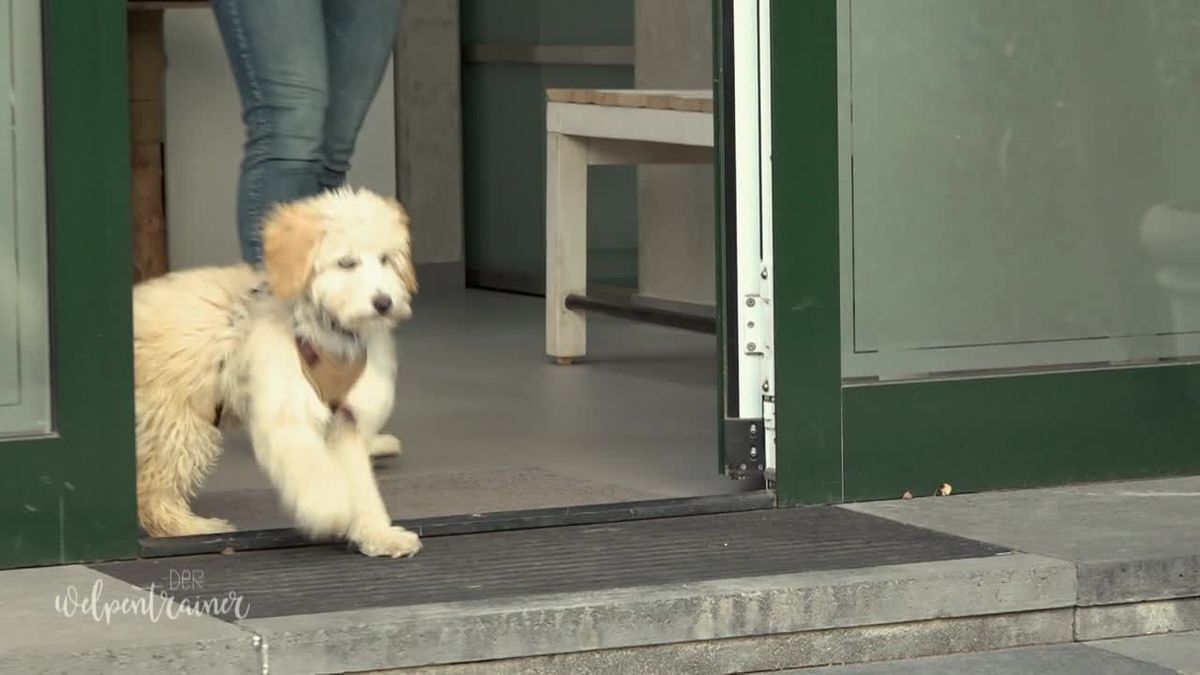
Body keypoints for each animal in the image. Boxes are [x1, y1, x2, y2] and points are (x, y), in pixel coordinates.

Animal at [130, 184, 420, 557]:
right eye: (347, 262)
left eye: (386, 259)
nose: (383, 303)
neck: (324, 329)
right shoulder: (289, 413)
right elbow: (313, 472)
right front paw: (333, 509)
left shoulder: (345, 420)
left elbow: (359, 482)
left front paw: (377, 533)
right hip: (177, 420)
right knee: (154, 488)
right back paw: (190, 528)